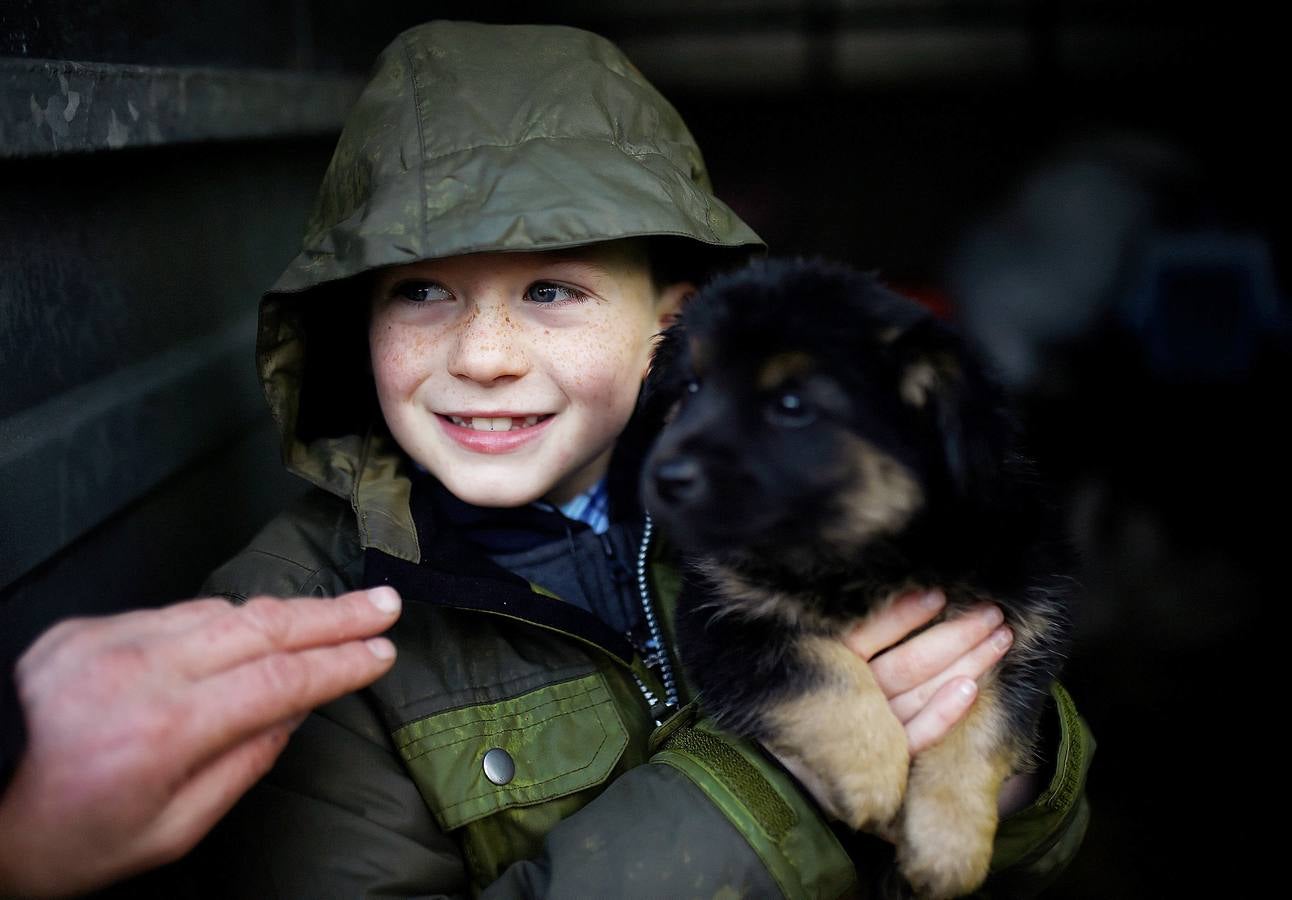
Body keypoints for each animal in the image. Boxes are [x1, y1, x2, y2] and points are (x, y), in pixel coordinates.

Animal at [640, 255, 1074, 893]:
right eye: (691, 388)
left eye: (792, 405)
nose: (663, 477)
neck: (868, 555)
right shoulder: (719, 622)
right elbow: (817, 666)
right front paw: (870, 774)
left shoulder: (1023, 635)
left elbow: (980, 725)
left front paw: (949, 848)